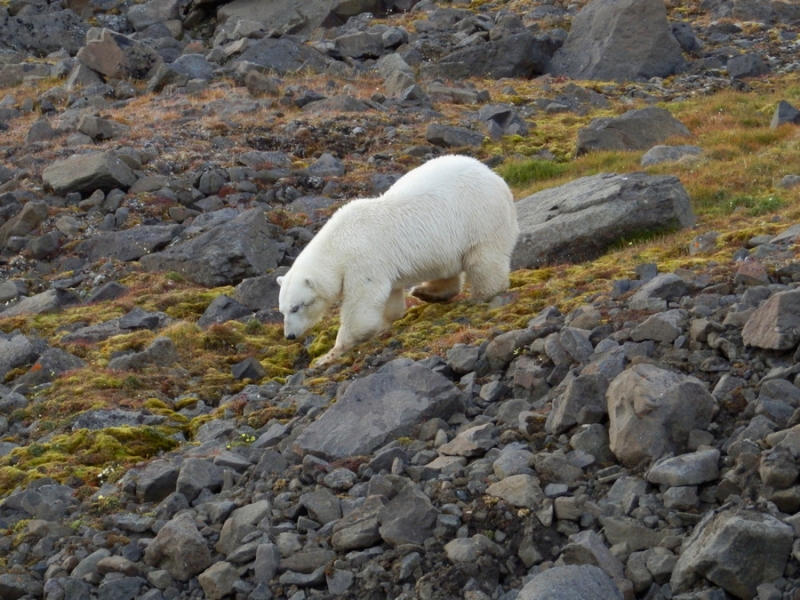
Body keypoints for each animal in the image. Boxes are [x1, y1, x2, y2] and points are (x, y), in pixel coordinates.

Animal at [278, 154, 520, 366]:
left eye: (297, 307)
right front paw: (386, 322)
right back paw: (426, 292)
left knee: (484, 261)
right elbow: (390, 297)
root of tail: (494, 176)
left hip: (481, 219)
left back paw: (481, 295)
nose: (289, 335)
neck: (338, 242)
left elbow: (361, 306)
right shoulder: (382, 267)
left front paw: (329, 354)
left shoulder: (363, 261)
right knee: (446, 269)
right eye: (282, 310)